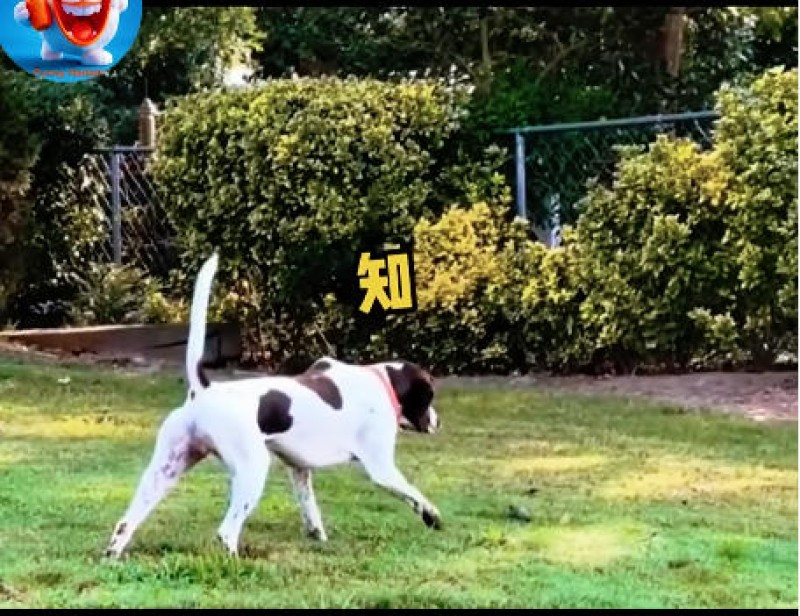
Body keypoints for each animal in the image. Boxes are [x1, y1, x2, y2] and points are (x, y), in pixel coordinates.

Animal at [104, 254, 442, 558]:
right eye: (430, 398)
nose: (438, 423)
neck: (382, 380)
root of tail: (203, 392)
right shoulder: (381, 468)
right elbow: (415, 495)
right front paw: (432, 517)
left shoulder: (299, 470)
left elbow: (310, 511)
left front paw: (318, 537)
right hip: (252, 469)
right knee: (226, 531)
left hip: (165, 471)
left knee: (125, 522)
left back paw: (113, 554)